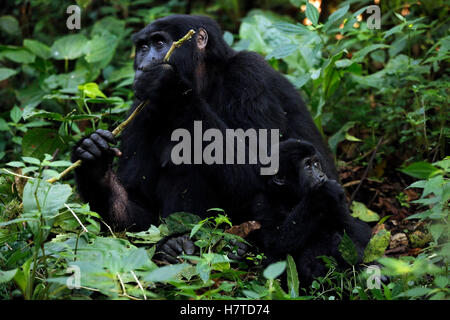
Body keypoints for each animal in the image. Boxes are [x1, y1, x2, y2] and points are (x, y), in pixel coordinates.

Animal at [71, 15, 338, 231]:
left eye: (159, 43)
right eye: (143, 47)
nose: (144, 63)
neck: (205, 78)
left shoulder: (249, 76)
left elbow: (263, 169)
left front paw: (170, 87)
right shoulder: (140, 109)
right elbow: (139, 205)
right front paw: (95, 164)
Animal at [250, 139, 370, 286]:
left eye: (316, 163)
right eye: (307, 165)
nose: (321, 175)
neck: (289, 196)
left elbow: (362, 233)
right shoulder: (261, 201)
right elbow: (274, 241)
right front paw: (322, 194)